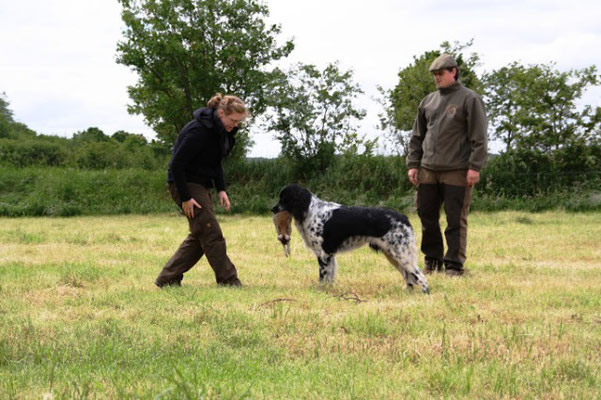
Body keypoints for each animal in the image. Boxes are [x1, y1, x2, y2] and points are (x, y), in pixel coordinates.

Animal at [270, 184, 428, 294]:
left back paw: (425, 292)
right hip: (392, 255)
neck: (310, 210)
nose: (273, 209)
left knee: (420, 275)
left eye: (284, 198)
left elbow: (323, 276)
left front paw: (321, 291)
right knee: (409, 277)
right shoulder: (330, 254)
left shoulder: (323, 253)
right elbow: (330, 276)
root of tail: (403, 217)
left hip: (401, 254)